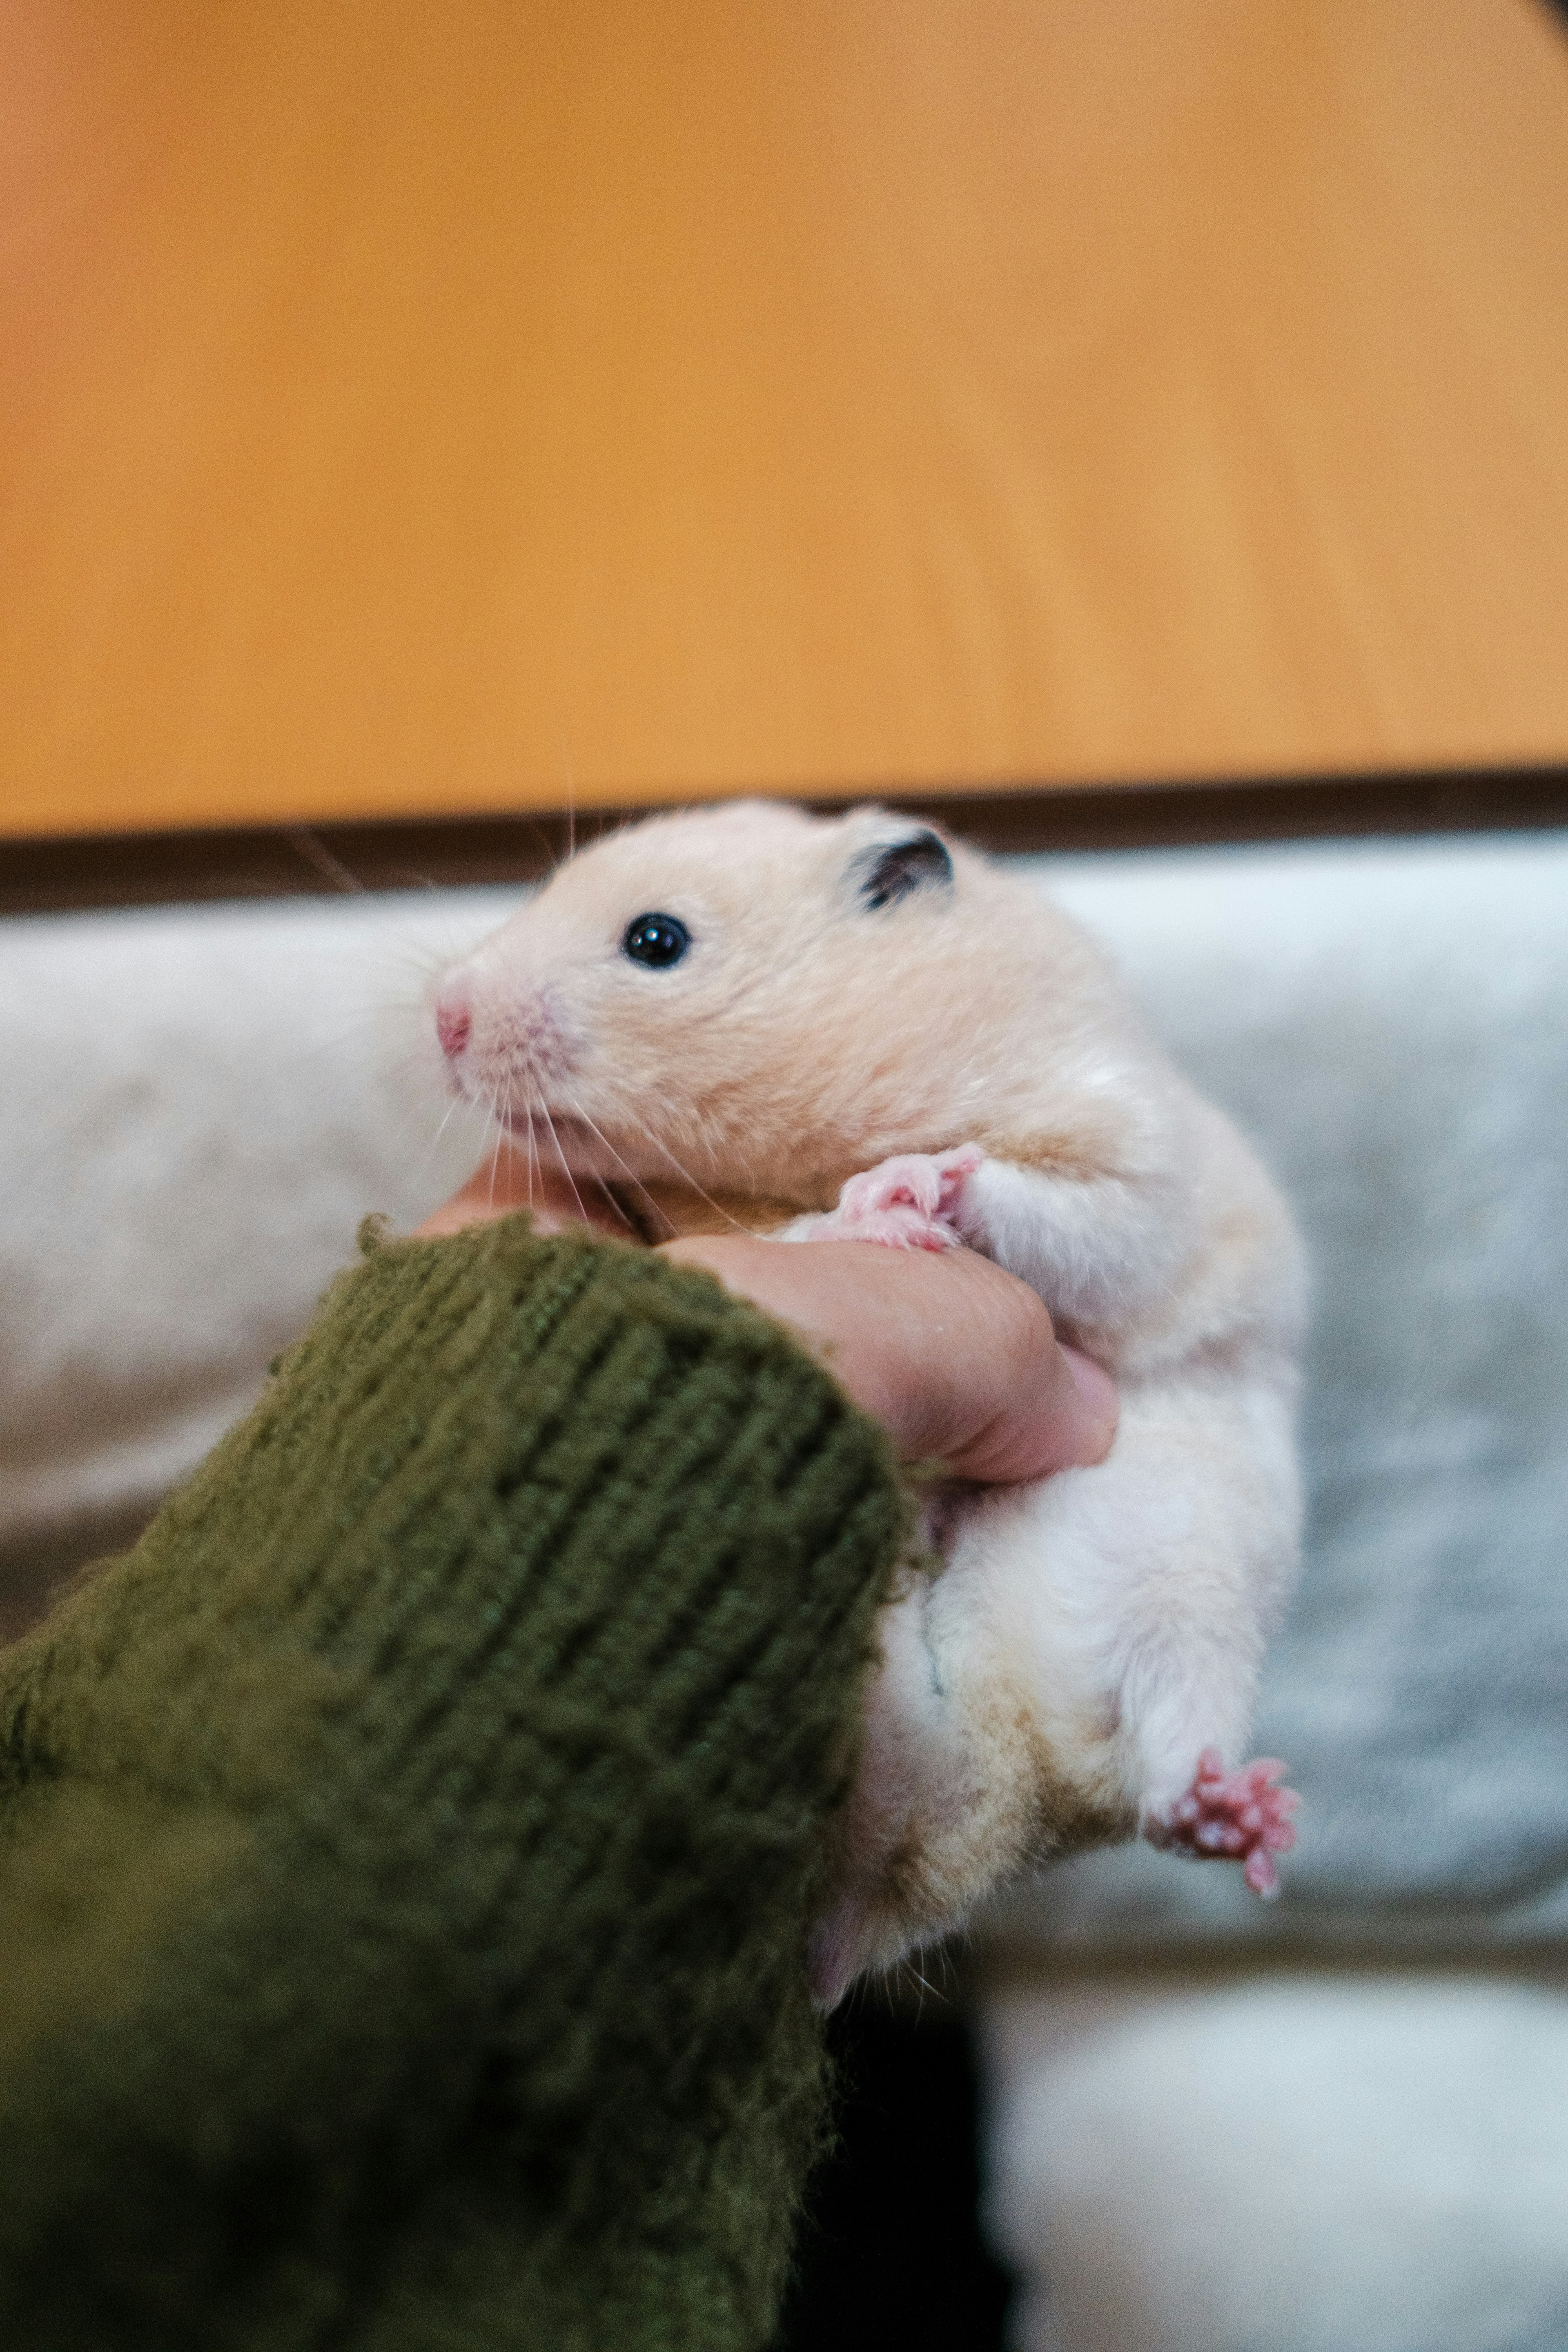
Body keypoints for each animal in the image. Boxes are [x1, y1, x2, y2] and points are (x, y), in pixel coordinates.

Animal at [430, 800, 1316, 1994]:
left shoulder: (1133, 1168)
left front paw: (908, 1188)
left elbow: (1051, 1214)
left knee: (1162, 1761)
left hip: (1183, 1593)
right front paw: (866, 1213)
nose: (442, 1015)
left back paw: (1235, 1813)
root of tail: (1002, 1792)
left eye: (656, 940)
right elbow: (803, 1233)